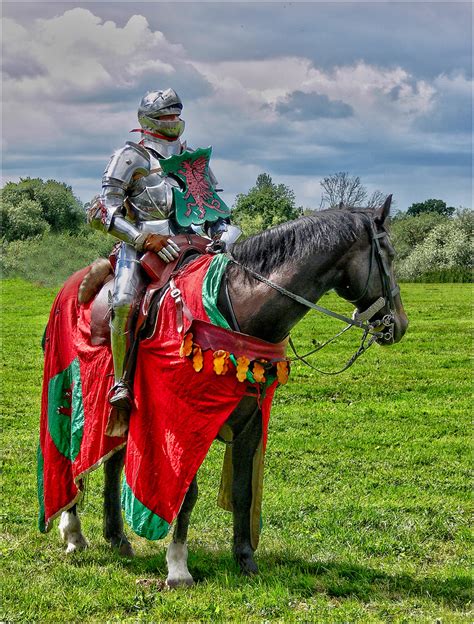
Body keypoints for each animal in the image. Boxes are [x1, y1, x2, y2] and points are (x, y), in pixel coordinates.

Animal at [58, 199, 408, 584]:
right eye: (389, 254)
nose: (399, 324)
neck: (237, 309)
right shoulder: (183, 422)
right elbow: (187, 493)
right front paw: (178, 566)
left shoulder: (251, 421)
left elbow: (243, 490)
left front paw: (245, 561)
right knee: (76, 454)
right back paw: (73, 530)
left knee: (112, 461)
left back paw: (117, 537)